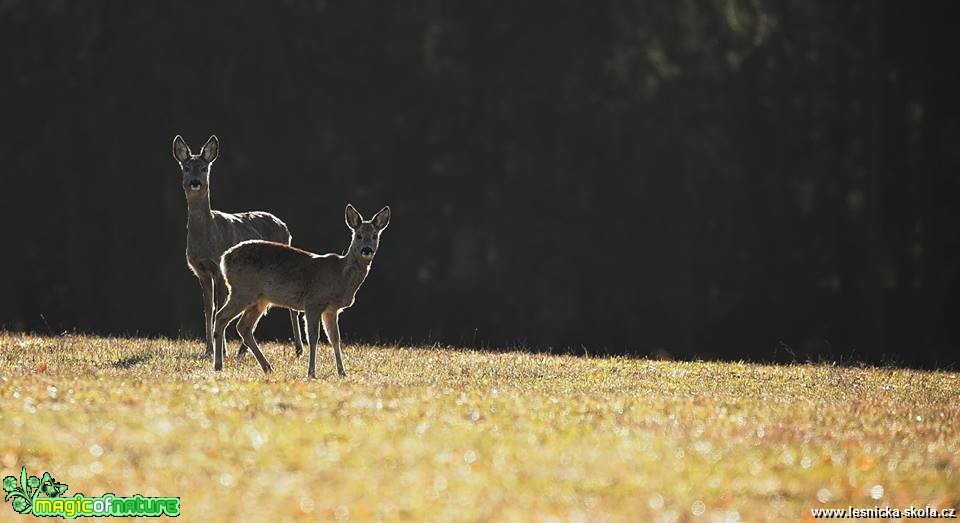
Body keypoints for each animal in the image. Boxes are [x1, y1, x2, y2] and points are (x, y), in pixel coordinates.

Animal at [173, 133, 304, 358]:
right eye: (186, 168)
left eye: (204, 168)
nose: (195, 182)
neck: (206, 238)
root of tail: (286, 228)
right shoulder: (200, 271)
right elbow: (208, 309)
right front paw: (208, 350)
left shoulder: (218, 269)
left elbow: (218, 306)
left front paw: (222, 349)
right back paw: (243, 350)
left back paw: (298, 349)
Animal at [213, 203, 390, 378]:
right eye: (358, 235)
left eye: (375, 236)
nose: (366, 250)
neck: (340, 275)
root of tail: (224, 258)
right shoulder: (313, 302)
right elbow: (313, 337)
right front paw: (311, 372)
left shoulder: (332, 309)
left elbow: (335, 338)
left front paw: (342, 373)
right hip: (242, 291)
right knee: (221, 317)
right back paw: (218, 365)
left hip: (259, 299)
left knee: (243, 327)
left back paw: (267, 367)